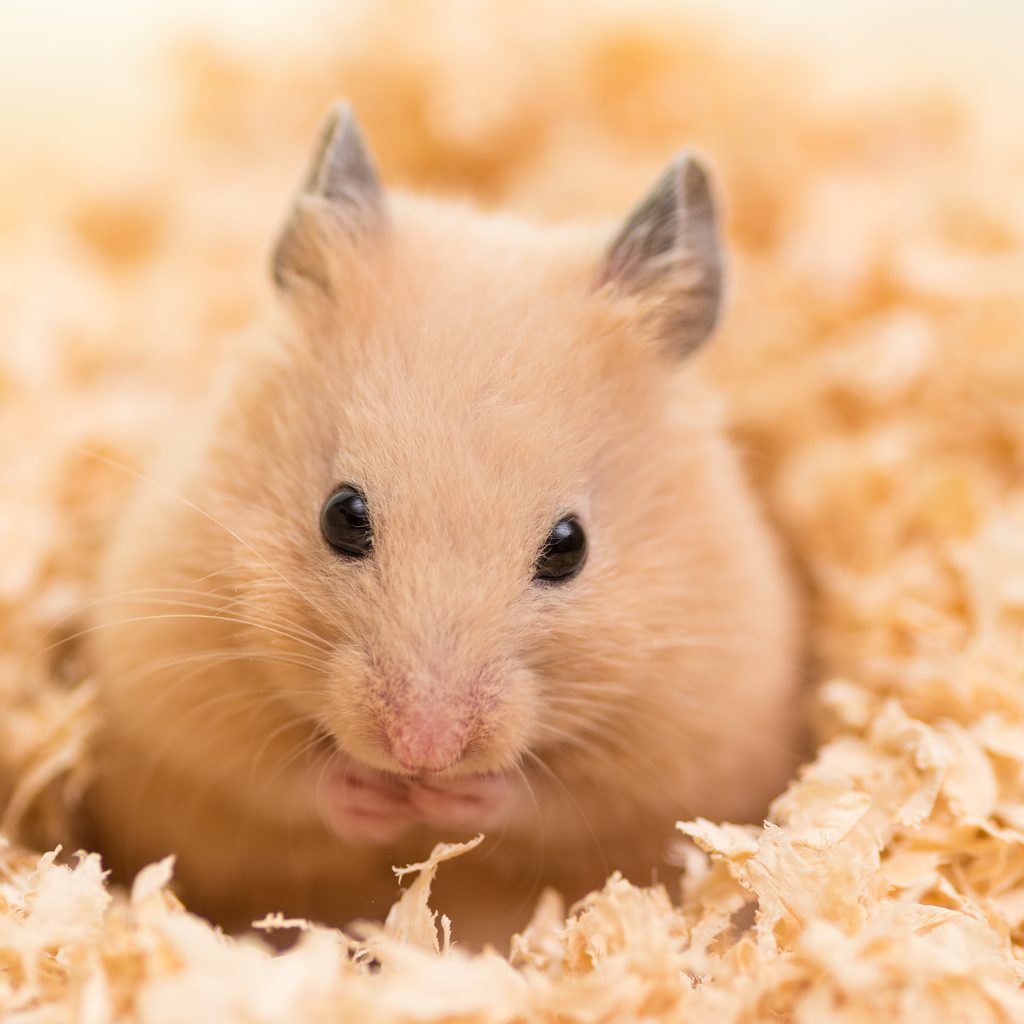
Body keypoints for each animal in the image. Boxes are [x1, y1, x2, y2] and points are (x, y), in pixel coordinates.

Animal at [80, 100, 804, 947]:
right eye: (342, 514)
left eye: (569, 547)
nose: (421, 752)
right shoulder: (172, 675)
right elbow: (273, 775)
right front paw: (376, 796)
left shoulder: (693, 732)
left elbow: (561, 803)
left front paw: (452, 800)